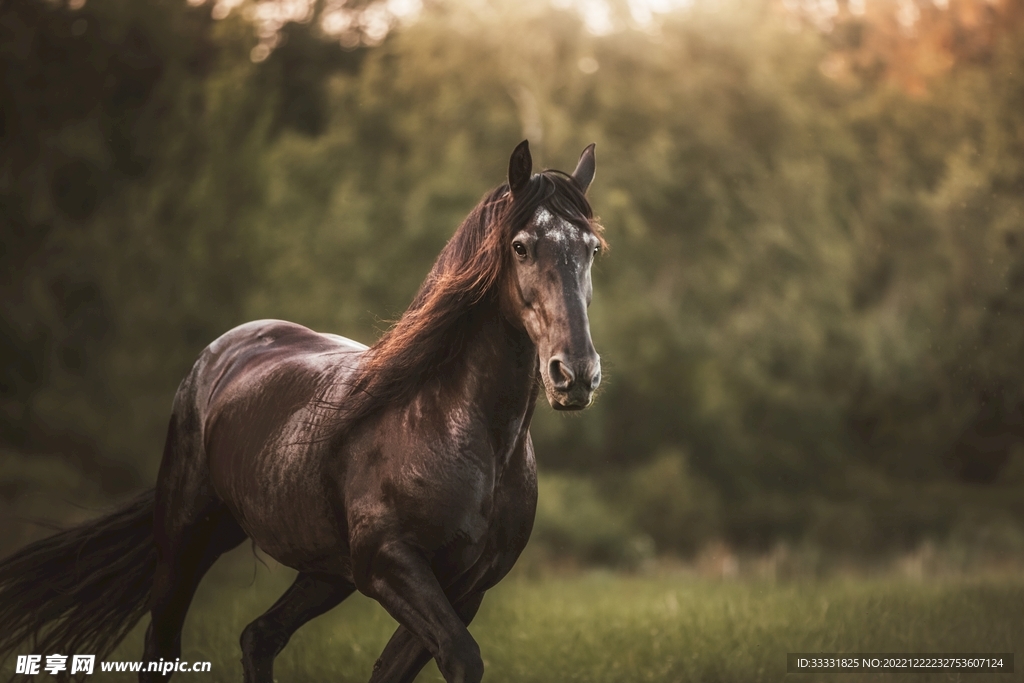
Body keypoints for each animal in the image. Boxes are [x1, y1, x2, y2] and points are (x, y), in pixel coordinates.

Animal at [0, 140, 606, 683]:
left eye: (592, 249)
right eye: (521, 246)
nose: (575, 374)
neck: (463, 431)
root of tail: (223, 351)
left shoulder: (467, 587)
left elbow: (395, 670)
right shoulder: (390, 563)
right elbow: (461, 657)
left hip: (322, 570)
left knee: (258, 636)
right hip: (186, 533)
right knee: (164, 643)